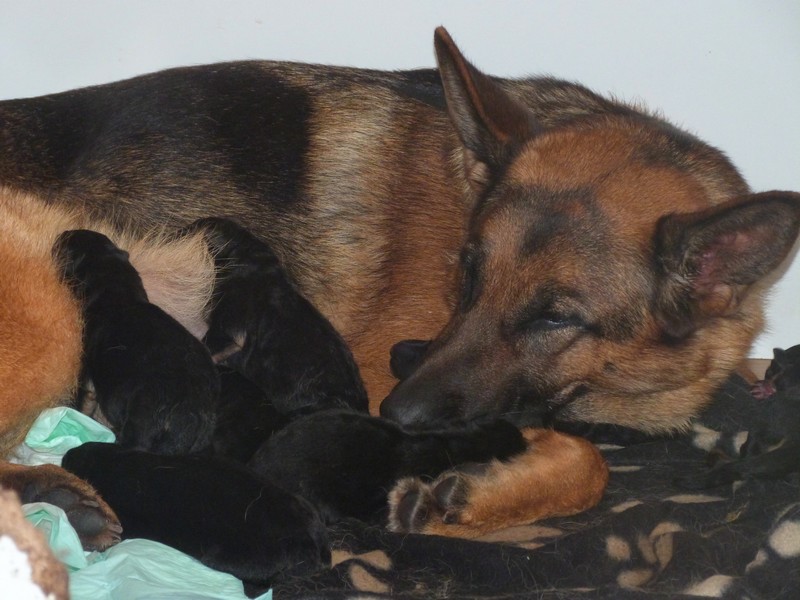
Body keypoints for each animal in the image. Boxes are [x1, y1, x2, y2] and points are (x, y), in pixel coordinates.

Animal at [0, 27, 799, 538]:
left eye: (555, 319)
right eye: (469, 269)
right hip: (53, 313)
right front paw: (477, 494)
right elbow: (589, 460)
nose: (395, 412)